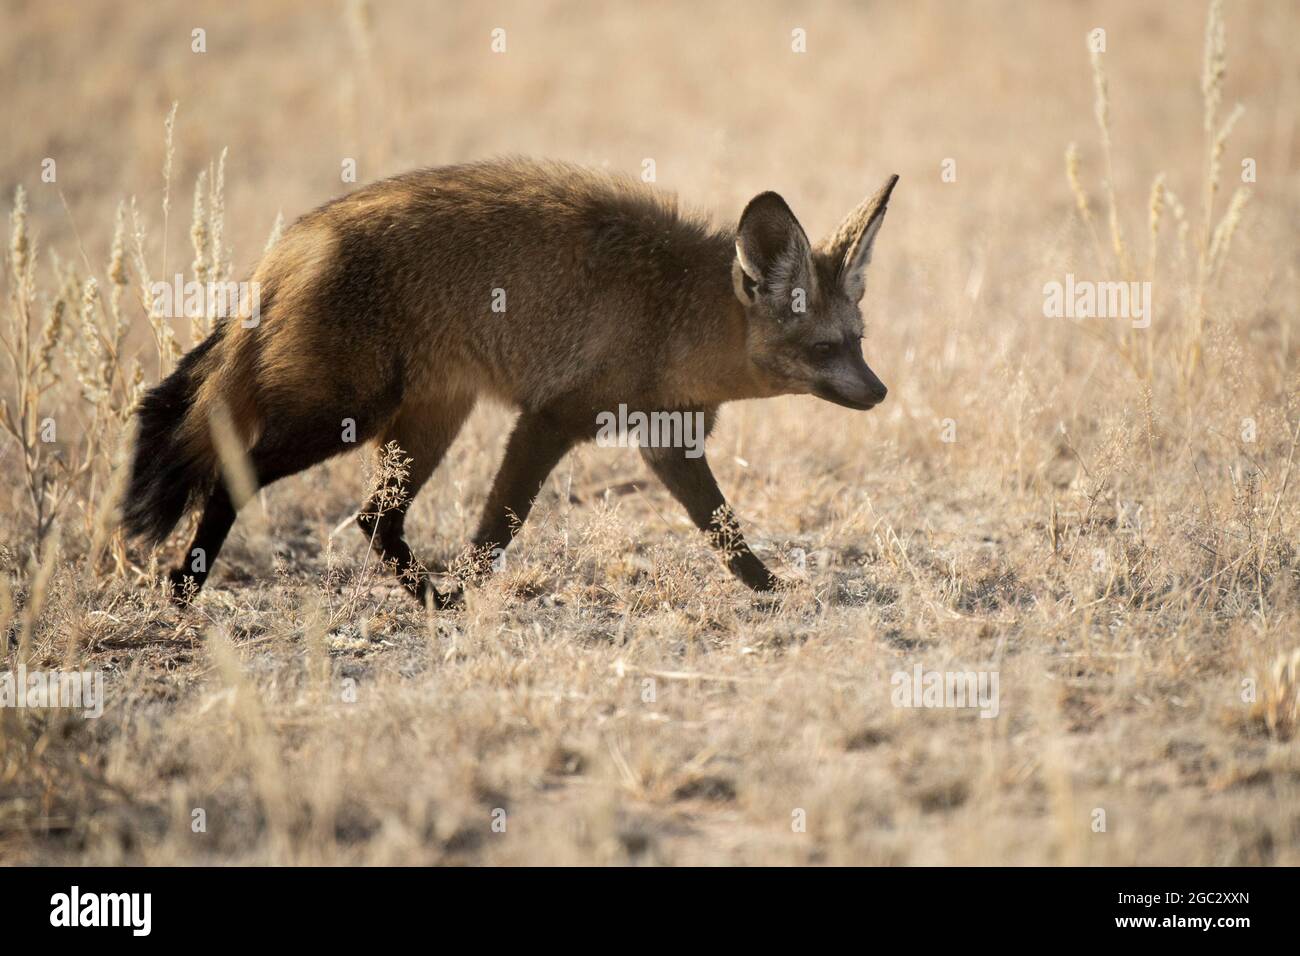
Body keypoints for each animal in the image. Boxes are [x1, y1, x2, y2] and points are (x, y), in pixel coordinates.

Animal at [119, 157, 894, 606]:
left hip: (424, 425)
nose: (880, 392)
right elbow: (496, 532)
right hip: (340, 419)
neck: (676, 316)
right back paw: (184, 592)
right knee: (233, 479)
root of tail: (290, 245)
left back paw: (430, 603)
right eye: (826, 347)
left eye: (858, 343)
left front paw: (774, 592)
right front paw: (472, 595)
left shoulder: (668, 443)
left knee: (374, 520)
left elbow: (725, 532)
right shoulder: (549, 420)